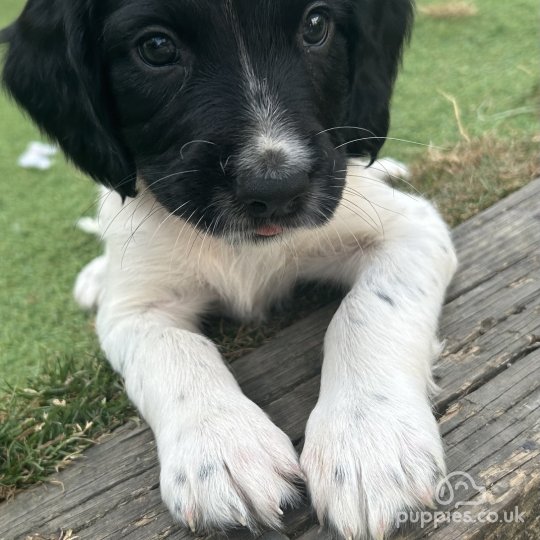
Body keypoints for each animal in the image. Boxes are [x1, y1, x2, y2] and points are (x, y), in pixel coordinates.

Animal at [2, 2, 458, 536]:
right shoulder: (134, 308)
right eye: (156, 47)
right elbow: (175, 350)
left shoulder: (412, 229)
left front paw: (369, 441)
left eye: (316, 25)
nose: (276, 188)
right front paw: (222, 449)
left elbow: (366, 312)